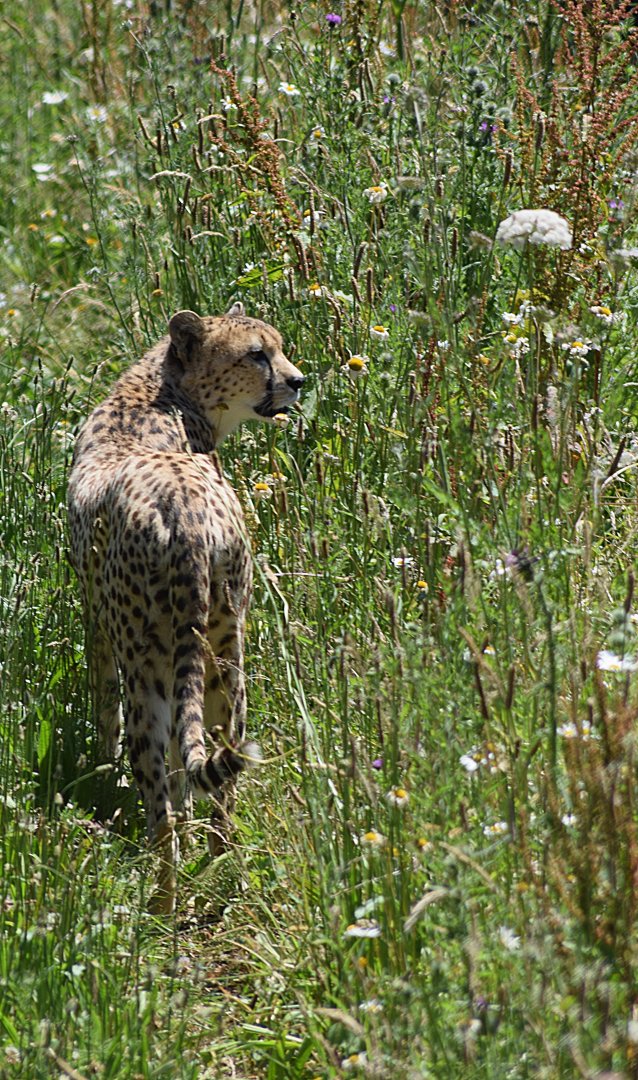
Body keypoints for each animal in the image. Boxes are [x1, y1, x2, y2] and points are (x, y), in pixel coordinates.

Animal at [67, 302, 304, 913]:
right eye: (257, 354)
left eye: (277, 347)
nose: (298, 382)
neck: (162, 388)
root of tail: (188, 516)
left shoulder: (99, 626)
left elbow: (104, 710)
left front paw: (103, 771)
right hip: (226, 655)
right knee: (221, 772)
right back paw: (223, 870)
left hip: (148, 670)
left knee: (160, 805)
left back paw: (162, 905)